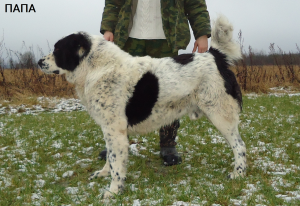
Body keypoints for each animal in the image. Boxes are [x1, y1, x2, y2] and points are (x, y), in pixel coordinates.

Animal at [38, 14, 246, 198]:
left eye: (58, 49)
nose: (39, 62)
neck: (97, 67)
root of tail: (214, 56)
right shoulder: (110, 129)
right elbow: (110, 158)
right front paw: (104, 174)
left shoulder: (115, 130)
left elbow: (116, 162)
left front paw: (114, 191)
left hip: (220, 114)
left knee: (240, 145)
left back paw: (239, 173)